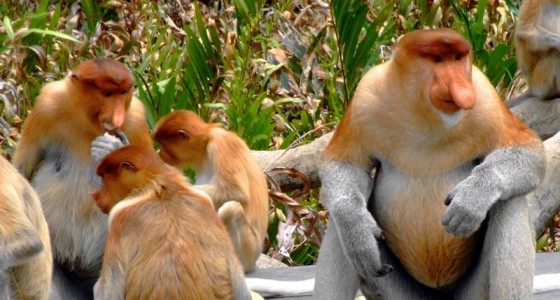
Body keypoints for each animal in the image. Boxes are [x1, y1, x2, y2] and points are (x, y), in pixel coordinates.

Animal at [12, 57, 153, 296]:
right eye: (107, 93)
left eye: (123, 93)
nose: (118, 118)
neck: (87, 122)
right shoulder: (46, 106)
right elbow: (22, 169)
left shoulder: (135, 119)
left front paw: (111, 148)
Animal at [91, 145, 252, 300]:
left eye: (104, 180)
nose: (96, 196)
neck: (160, 186)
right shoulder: (205, 200)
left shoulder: (118, 215)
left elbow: (108, 293)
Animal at [152, 111, 268, 274]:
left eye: (164, 144)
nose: (160, 153)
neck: (206, 142)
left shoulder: (221, 145)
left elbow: (236, 191)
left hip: (248, 250)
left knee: (230, 208)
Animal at [316, 27, 548, 298]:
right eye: (438, 60)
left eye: (457, 59)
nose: (461, 88)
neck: (425, 117)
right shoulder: (365, 96)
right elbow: (345, 164)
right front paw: (357, 235)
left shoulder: (485, 98)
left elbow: (529, 151)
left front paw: (473, 198)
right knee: (338, 222)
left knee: (509, 202)